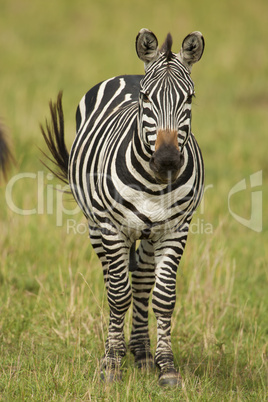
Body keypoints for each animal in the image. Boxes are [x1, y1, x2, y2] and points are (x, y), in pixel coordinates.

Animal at [41, 28, 205, 386]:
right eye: (145, 97)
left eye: (189, 98)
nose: (167, 160)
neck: (155, 183)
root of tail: (130, 73)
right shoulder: (112, 229)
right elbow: (118, 295)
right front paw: (111, 365)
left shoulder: (176, 230)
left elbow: (164, 297)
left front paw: (166, 367)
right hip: (97, 228)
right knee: (112, 281)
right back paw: (113, 351)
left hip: (149, 233)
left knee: (142, 280)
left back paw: (142, 352)